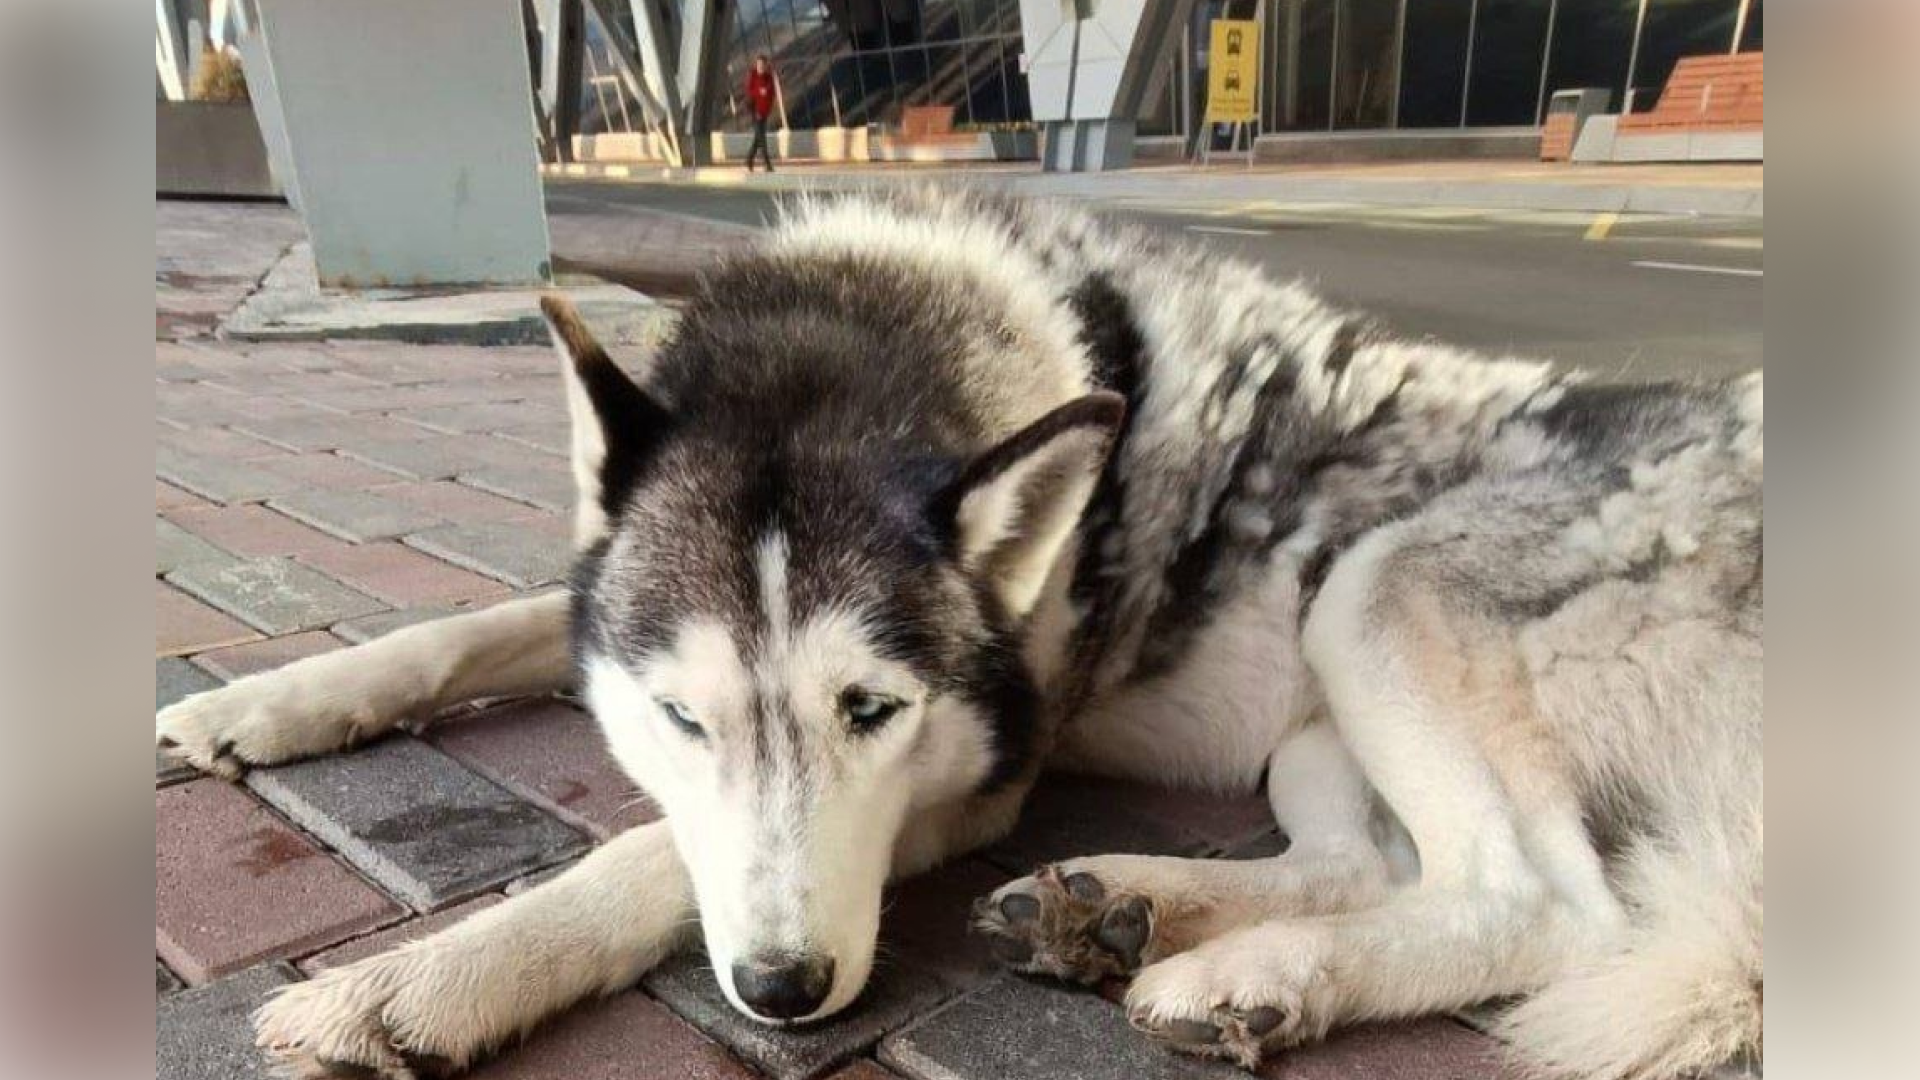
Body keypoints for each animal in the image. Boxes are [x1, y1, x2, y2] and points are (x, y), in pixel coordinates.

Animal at [157, 189, 1758, 1068]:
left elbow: (645, 859)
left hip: (1372, 592)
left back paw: (1239, 971)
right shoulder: (596, 603)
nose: (783, 992)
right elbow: (470, 629)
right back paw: (1123, 907)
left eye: (874, 712)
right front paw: (265, 703)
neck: (866, 335)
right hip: (1315, 708)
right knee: (1369, 860)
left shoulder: (982, 774)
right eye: (680, 718)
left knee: (1543, 901)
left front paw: (421, 979)